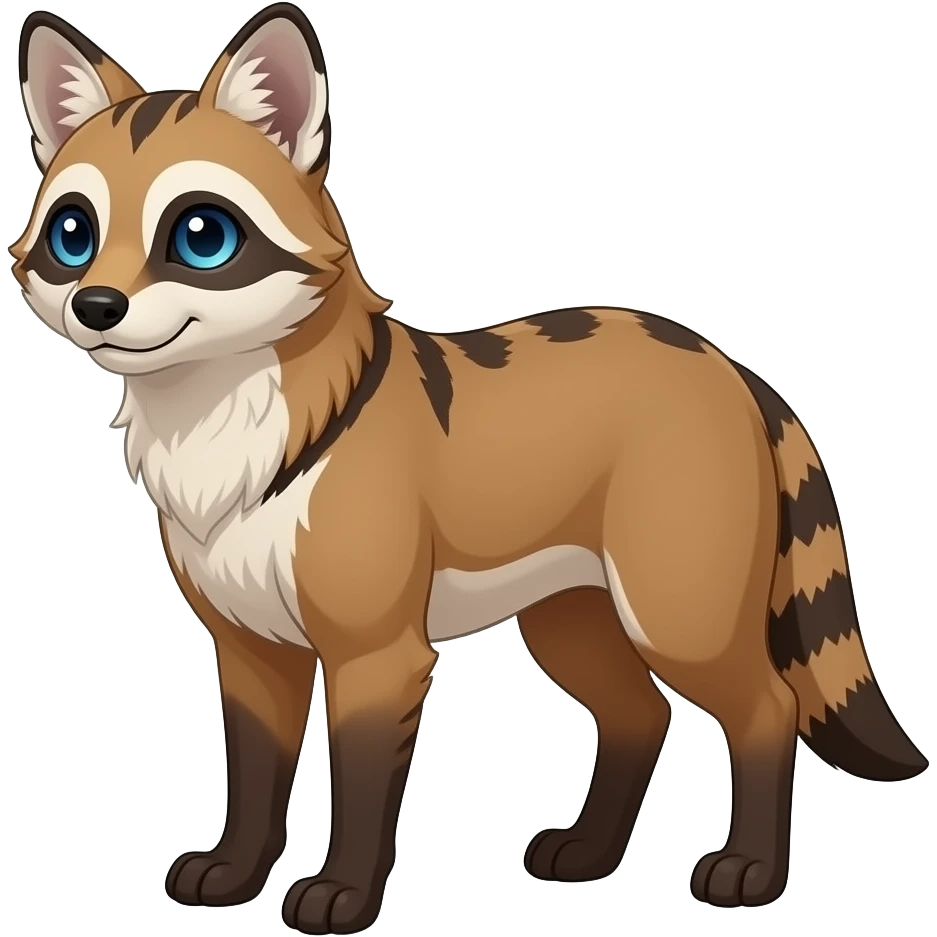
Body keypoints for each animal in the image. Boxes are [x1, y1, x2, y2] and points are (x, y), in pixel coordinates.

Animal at [9, 4, 928, 933]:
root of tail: (728, 364)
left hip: (677, 614)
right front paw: (234, 873)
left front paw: (343, 894)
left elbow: (363, 788)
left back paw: (750, 871)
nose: (98, 305)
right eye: (73, 235)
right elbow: (255, 776)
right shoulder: (249, 646)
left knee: (768, 707)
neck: (220, 429)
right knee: (639, 713)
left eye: (201, 236)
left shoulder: (377, 652)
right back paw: (587, 854)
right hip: (571, 618)